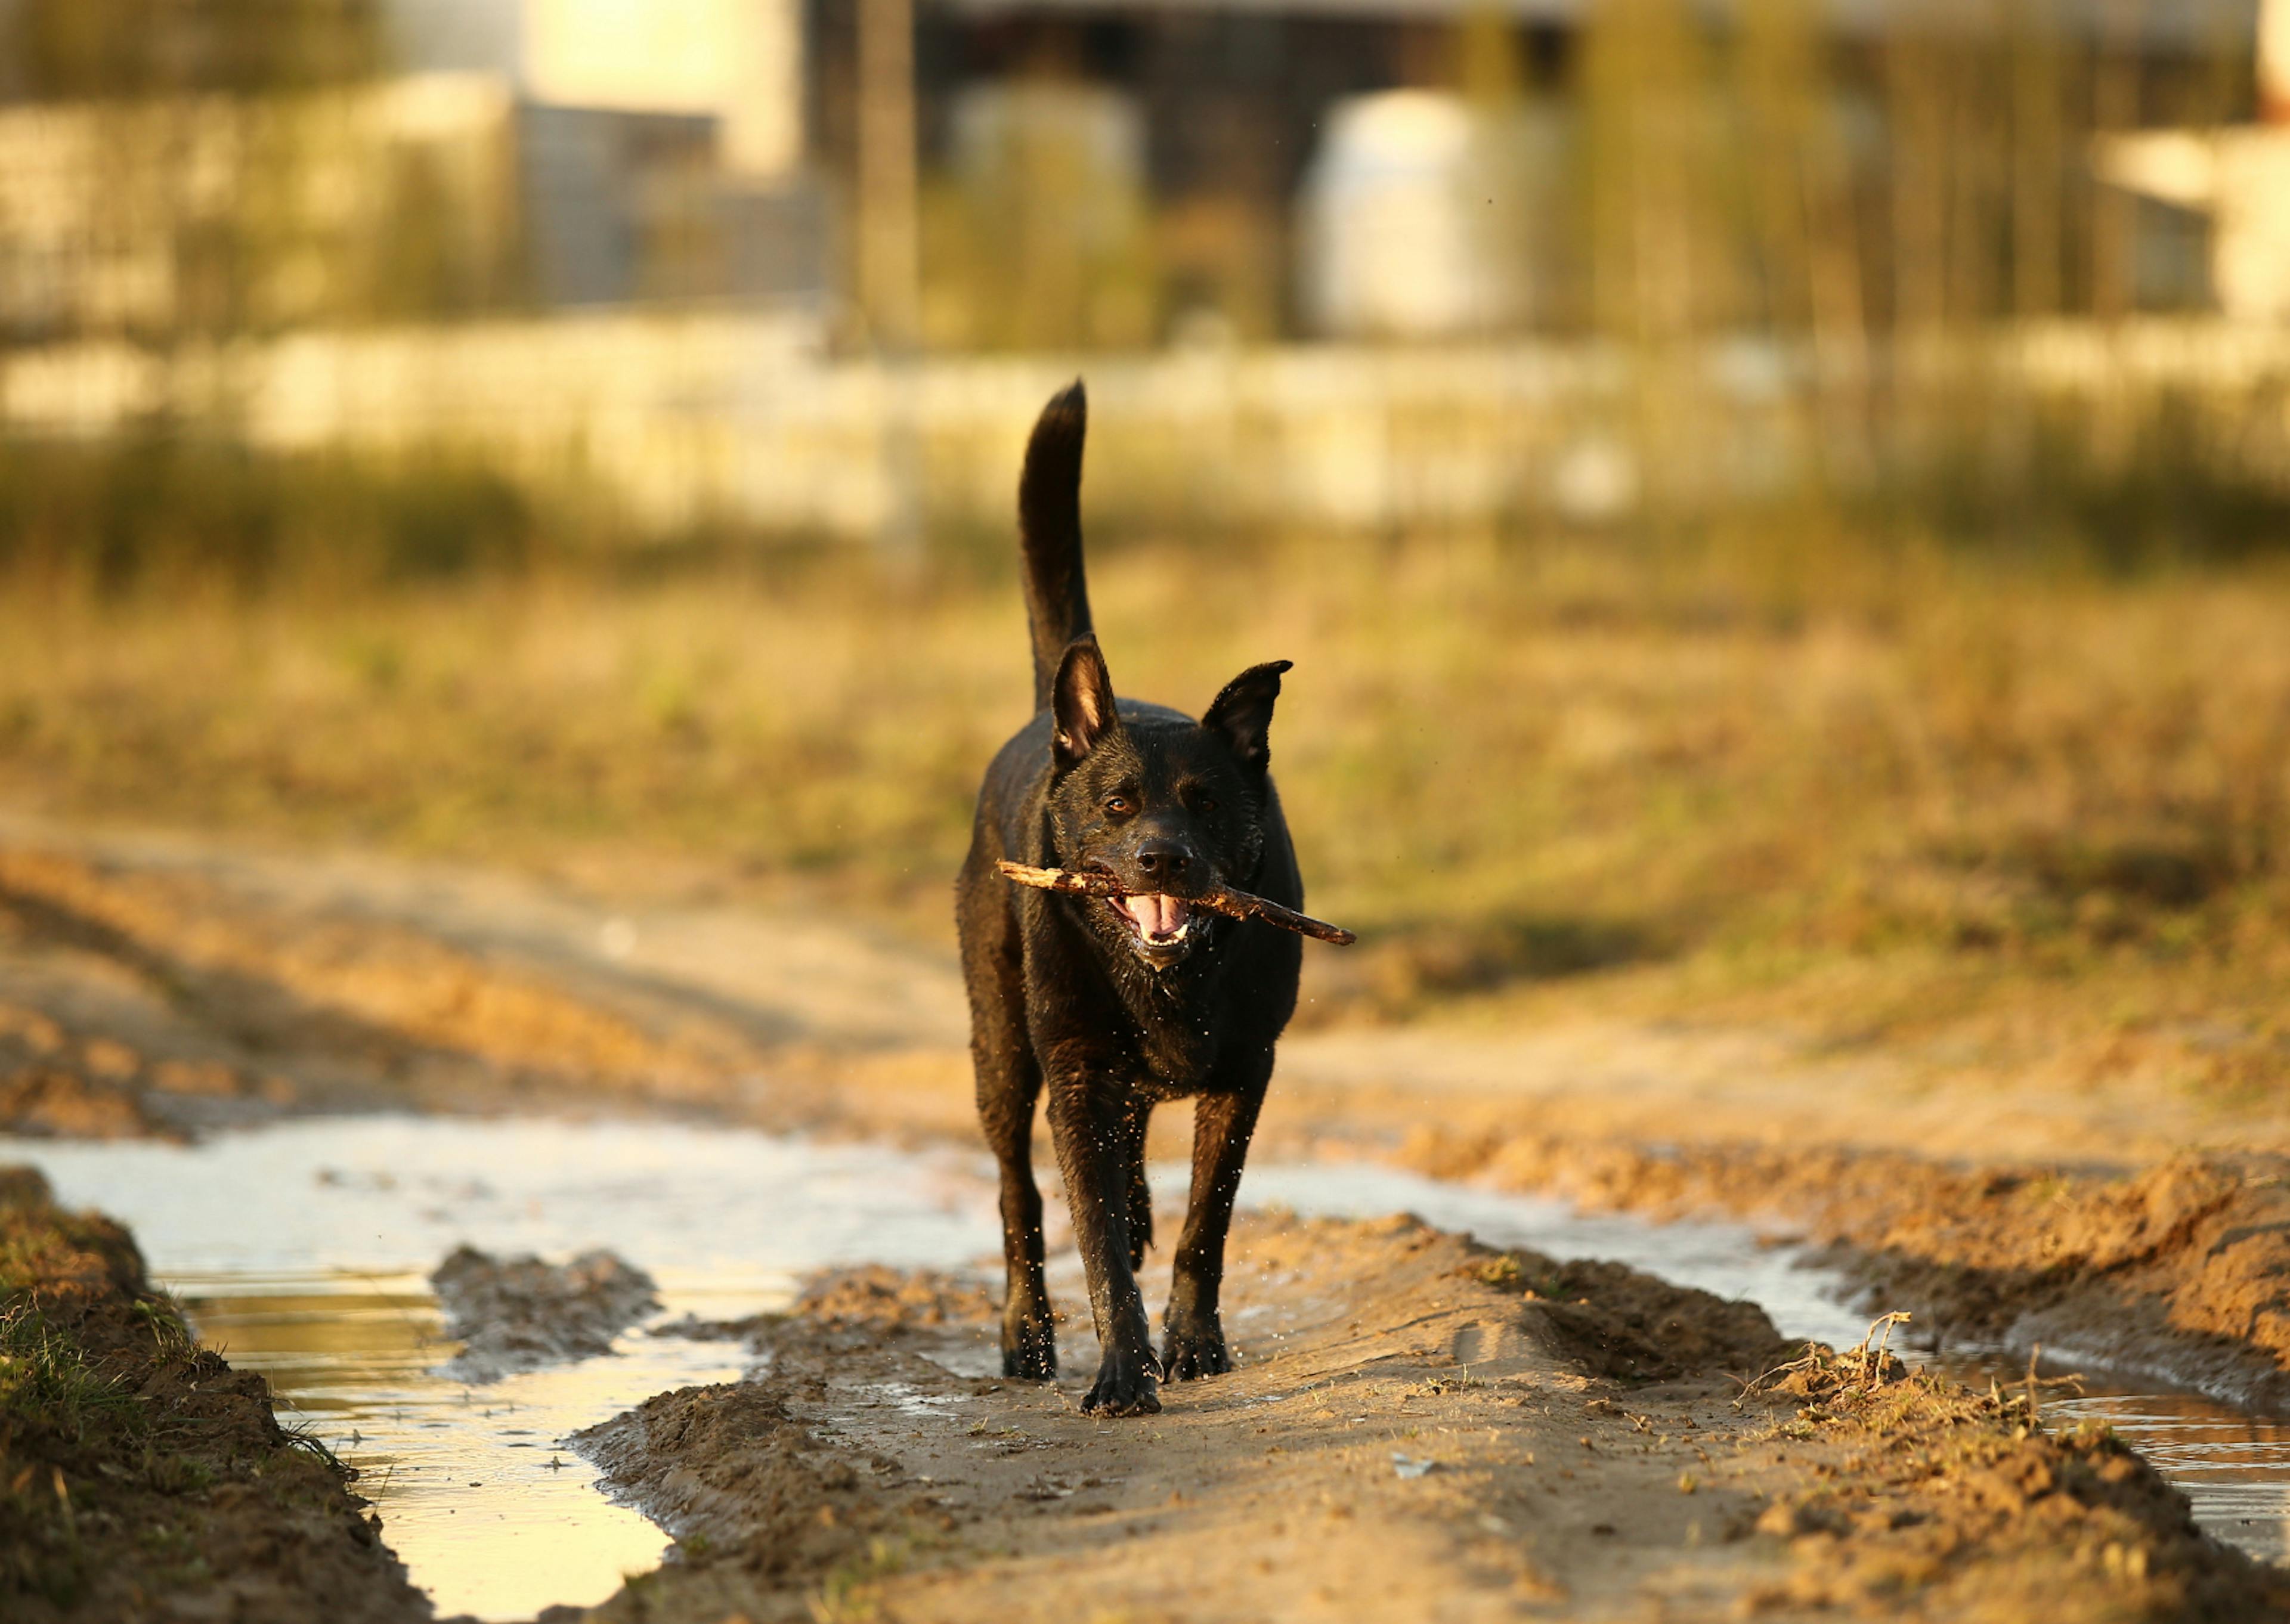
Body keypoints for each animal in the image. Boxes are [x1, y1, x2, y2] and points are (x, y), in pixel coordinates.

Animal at [952, 377, 1310, 1402]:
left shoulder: (1247, 1071)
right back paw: (1027, 1336)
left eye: (1205, 802)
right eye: (1117, 805)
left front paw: (1192, 1344)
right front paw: (1122, 1373)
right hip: (1000, 1047)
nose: (1163, 860)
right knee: (1018, 1191)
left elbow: (1207, 1224)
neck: (1171, 976)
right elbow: (1096, 1236)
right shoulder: (1074, 1072)